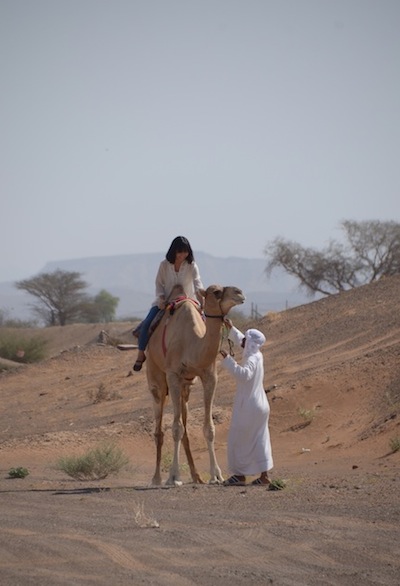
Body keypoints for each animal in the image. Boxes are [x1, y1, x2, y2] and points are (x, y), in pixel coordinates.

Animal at [145, 282, 244, 484]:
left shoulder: (209, 376)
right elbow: (176, 428)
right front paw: (174, 476)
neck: (191, 344)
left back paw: (196, 476)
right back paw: (157, 478)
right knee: (159, 430)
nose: (240, 293)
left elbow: (209, 428)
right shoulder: (173, 375)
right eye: (216, 292)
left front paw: (216, 475)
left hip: (186, 389)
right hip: (156, 379)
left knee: (185, 429)